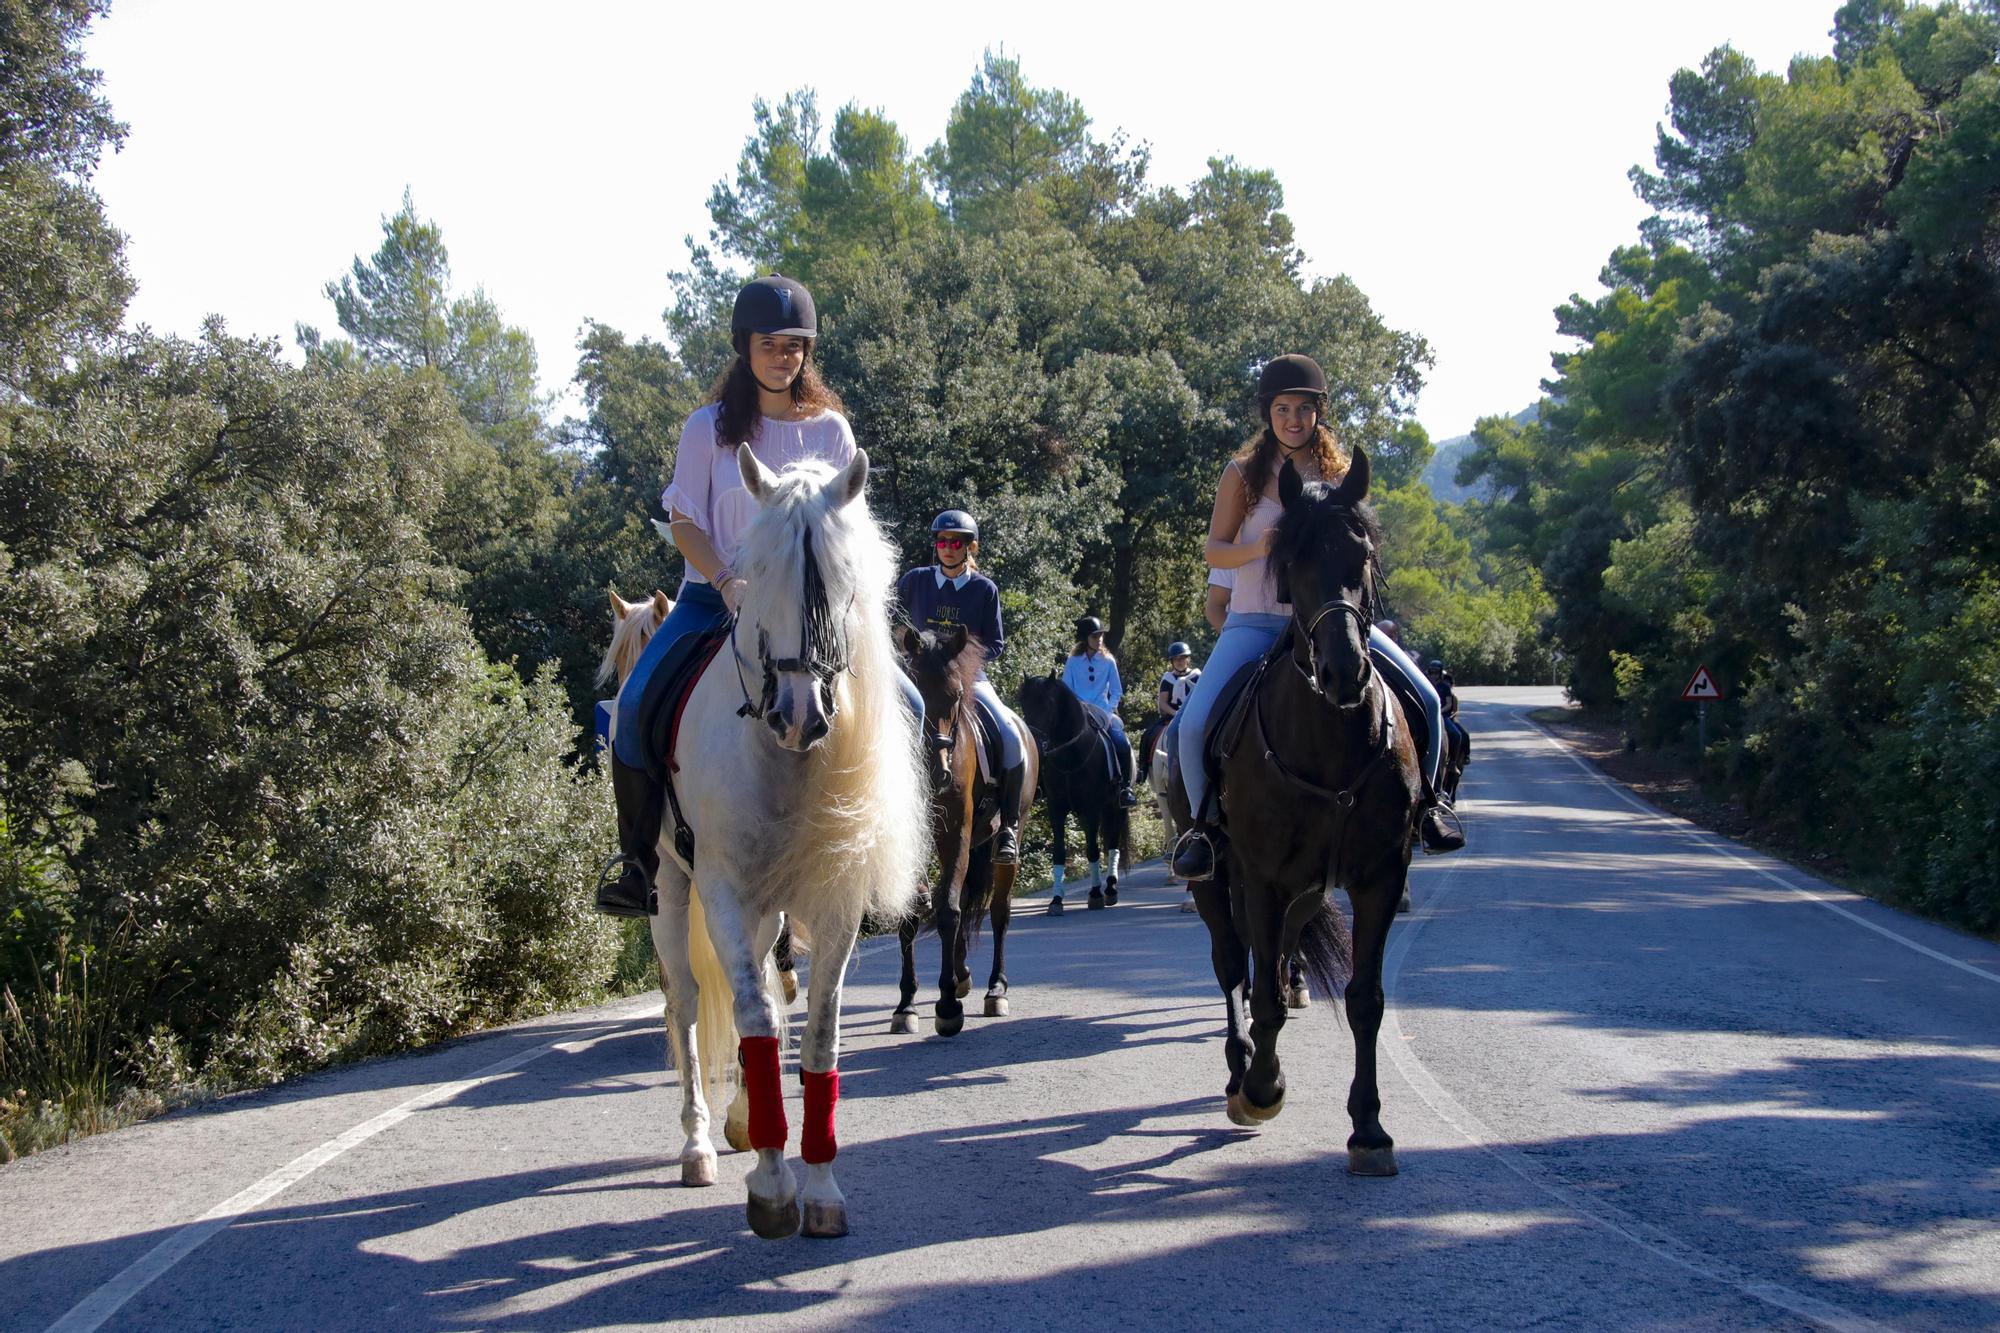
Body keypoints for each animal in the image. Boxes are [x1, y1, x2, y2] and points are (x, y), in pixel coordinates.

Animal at [600, 452, 928, 1240]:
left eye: (842, 581)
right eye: (758, 574)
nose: (798, 713)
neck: (779, 761)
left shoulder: (831, 905)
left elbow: (815, 1034)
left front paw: (821, 1186)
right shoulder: (720, 892)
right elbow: (748, 1017)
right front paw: (775, 1186)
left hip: (766, 909)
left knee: (764, 1004)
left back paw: (745, 1122)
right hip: (671, 892)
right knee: (687, 1005)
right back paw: (697, 1144)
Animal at [896, 624, 1040, 1024]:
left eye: (958, 696)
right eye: (913, 693)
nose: (936, 773)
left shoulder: (955, 831)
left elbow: (948, 910)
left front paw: (947, 1006)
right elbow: (916, 913)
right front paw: (906, 1004)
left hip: (1008, 836)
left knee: (999, 911)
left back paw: (996, 989)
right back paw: (961, 976)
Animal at [1024, 676, 1136, 912]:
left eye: (1048, 705)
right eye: (1024, 705)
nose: (1035, 744)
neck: (1069, 756)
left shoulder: (1090, 809)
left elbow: (1092, 850)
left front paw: (1095, 894)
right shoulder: (1056, 809)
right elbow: (1058, 852)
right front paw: (1056, 900)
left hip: (1116, 808)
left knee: (1113, 844)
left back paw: (1110, 889)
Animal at [1168, 448, 1432, 1176]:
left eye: (1361, 557)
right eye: (1291, 560)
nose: (1345, 671)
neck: (1331, 741)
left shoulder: (1378, 876)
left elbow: (1366, 999)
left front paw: (1369, 1128)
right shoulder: (1260, 876)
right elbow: (1256, 991)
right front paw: (1261, 1090)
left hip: (1307, 890)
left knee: (1276, 958)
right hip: (1216, 879)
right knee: (1234, 965)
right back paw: (1241, 1071)